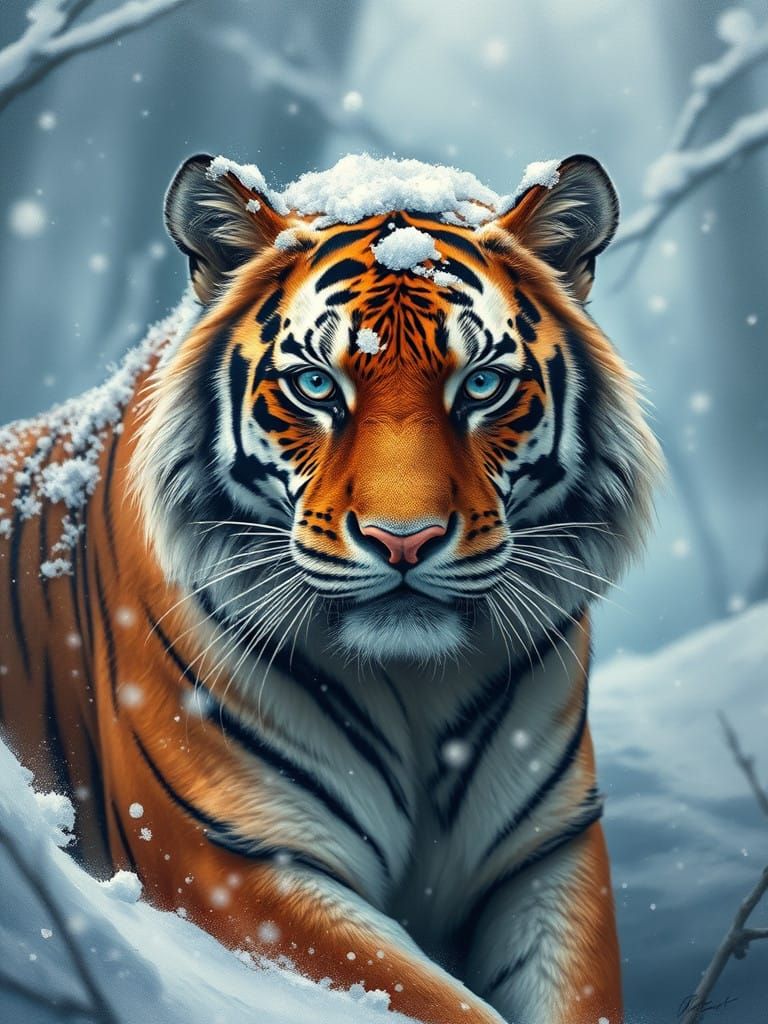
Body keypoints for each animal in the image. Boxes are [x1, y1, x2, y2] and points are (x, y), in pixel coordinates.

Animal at [0, 151, 662, 1024]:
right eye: (316, 387)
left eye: (482, 386)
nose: (403, 539)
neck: (418, 691)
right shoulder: (236, 858)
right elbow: (434, 1002)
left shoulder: (547, 850)